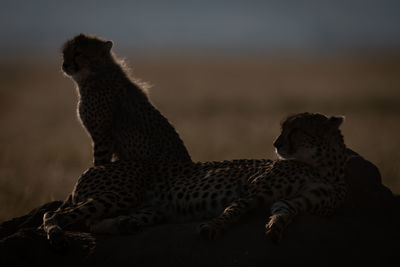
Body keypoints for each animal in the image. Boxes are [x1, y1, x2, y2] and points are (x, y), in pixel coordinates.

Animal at [43, 112, 348, 247]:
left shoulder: (294, 201)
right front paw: (212, 228)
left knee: (93, 222)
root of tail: (91, 168)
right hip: (120, 194)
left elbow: (283, 212)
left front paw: (275, 228)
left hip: (150, 210)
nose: (276, 143)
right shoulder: (252, 192)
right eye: (283, 128)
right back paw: (55, 232)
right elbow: (231, 210)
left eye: (295, 129)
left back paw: (124, 225)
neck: (321, 166)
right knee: (54, 215)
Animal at [61, 34, 191, 165]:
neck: (96, 75)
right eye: (64, 53)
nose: (64, 65)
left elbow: (98, 163)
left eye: (78, 53)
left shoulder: (103, 137)